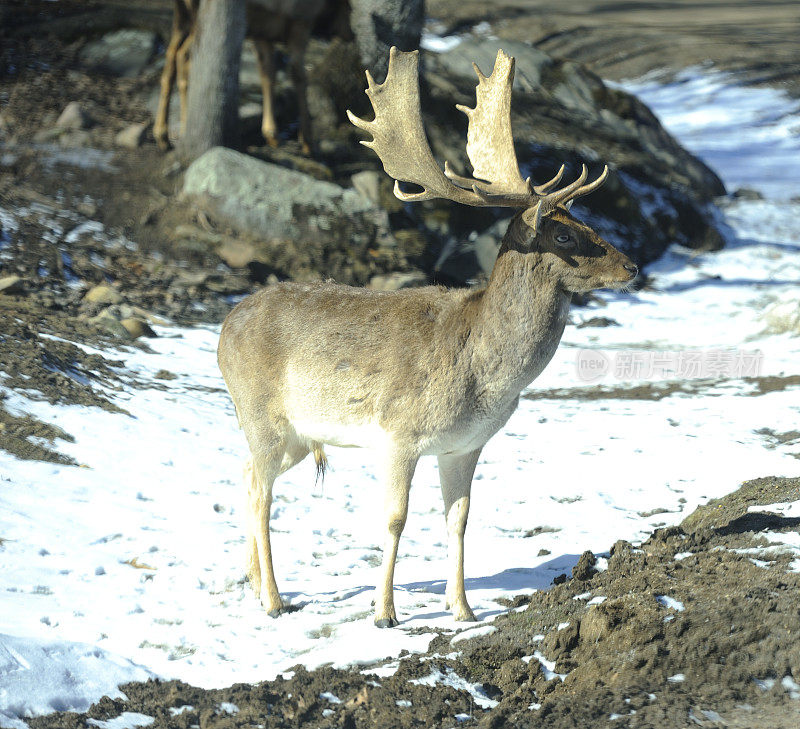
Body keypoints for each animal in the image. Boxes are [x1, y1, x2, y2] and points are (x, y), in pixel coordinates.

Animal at [153, 0, 346, 154]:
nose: (347, 35)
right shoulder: (301, 22)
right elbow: (298, 76)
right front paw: (307, 141)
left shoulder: (263, 32)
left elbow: (268, 74)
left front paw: (271, 133)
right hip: (195, 16)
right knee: (184, 56)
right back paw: (184, 128)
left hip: (182, 16)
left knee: (171, 56)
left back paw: (162, 135)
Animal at [217, 45, 636, 624]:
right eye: (565, 234)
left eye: (586, 221)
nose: (631, 266)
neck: (482, 373)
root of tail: (222, 328)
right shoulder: (399, 432)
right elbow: (395, 518)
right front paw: (385, 612)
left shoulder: (464, 445)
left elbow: (458, 518)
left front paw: (462, 609)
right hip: (260, 413)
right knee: (260, 492)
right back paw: (275, 600)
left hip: (298, 435)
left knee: (248, 476)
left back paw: (254, 582)